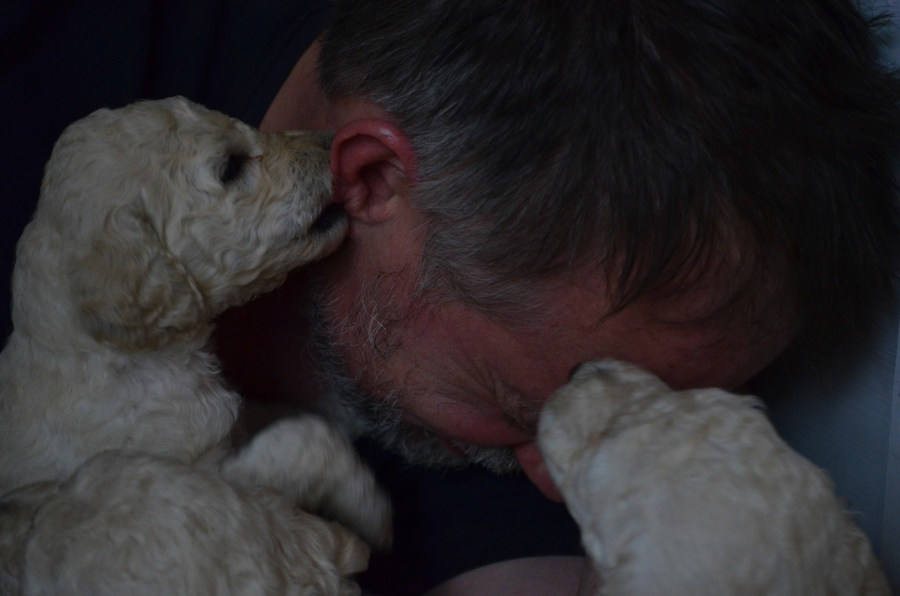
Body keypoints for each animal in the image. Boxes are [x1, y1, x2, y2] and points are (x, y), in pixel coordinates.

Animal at [0, 97, 390, 592]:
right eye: (230, 167)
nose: (332, 142)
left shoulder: (235, 423)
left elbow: (276, 411)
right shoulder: (214, 473)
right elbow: (299, 443)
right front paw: (372, 508)